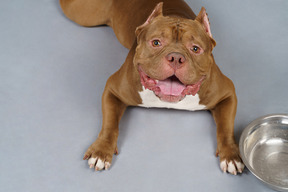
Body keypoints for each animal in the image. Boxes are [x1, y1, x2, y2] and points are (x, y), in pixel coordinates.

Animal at [59, 0, 244, 174]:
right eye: (156, 43)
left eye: (195, 48)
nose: (176, 57)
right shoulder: (112, 90)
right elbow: (110, 125)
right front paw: (101, 151)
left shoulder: (227, 94)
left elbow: (226, 129)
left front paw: (231, 156)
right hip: (82, 14)